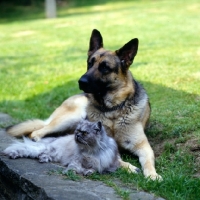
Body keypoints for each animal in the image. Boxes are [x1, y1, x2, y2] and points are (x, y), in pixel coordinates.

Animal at [6, 29, 162, 180]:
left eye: (105, 67)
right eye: (89, 63)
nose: (81, 82)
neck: (111, 109)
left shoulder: (143, 146)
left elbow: (149, 160)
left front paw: (152, 175)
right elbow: (117, 159)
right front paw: (129, 167)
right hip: (71, 117)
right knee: (36, 132)